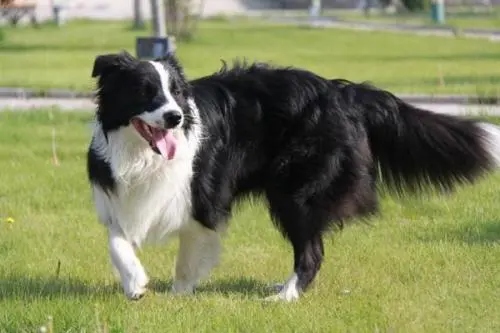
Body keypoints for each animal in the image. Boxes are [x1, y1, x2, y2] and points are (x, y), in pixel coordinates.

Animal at [88, 50, 500, 300]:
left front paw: (179, 295)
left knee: (311, 251)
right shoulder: (118, 196)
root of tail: (342, 92)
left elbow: (189, 253)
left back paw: (286, 295)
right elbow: (116, 242)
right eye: (146, 92)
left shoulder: (204, 199)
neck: (142, 156)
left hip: (296, 191)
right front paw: (136, 284)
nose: (174, 117)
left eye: (176, 93)